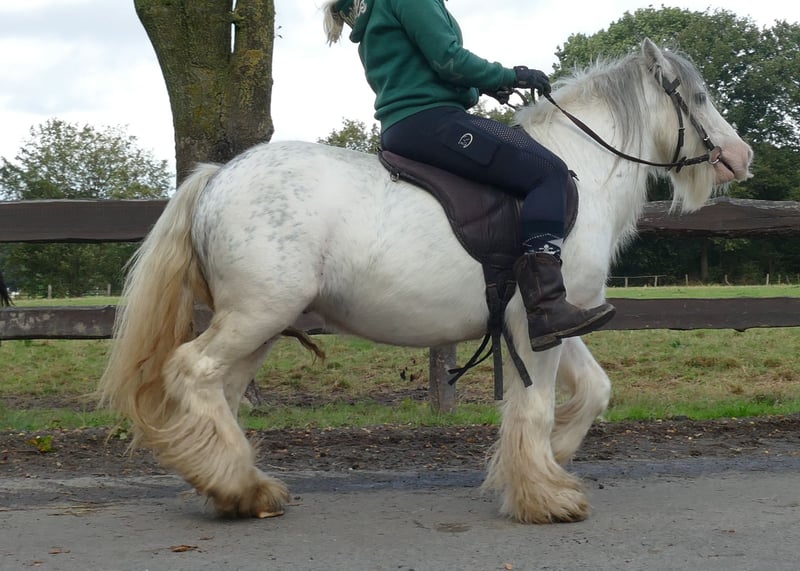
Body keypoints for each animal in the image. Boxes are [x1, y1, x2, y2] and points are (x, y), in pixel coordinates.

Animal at [99, 39, 752, 523]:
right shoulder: (532, 324)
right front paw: (543, 493)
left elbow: (593, 389)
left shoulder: (555, 318)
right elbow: (536, 408)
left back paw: (237, 486)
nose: (741, 156)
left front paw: (549, 462)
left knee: (222, 392)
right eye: (697, 96)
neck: (581, 170)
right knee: (193, 372)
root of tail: (216, 176)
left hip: (258, 326)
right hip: (256, 315)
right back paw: (235, 485)